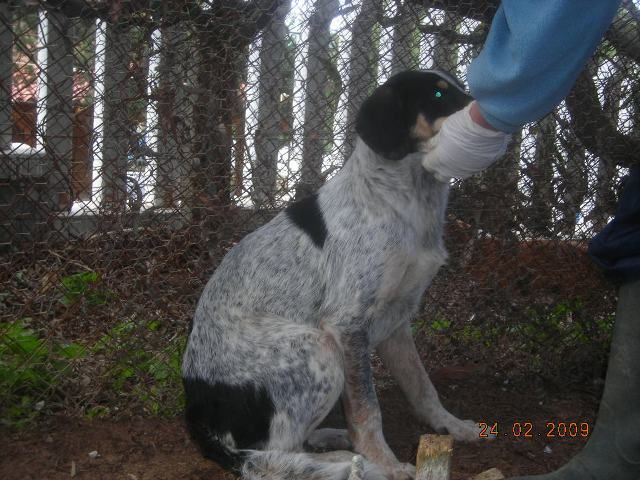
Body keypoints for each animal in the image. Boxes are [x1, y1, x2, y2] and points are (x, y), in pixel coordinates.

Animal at [182, 70, 482, 480]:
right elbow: (368, 410)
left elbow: (422, 387)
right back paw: (347, 461)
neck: (402, 201)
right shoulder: (347, 325)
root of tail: (203, 426)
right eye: (438, 94)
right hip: (317, 348)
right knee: (270, 457)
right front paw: (385, 463)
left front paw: (451, 426)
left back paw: (333, 441)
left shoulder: (397, 321)